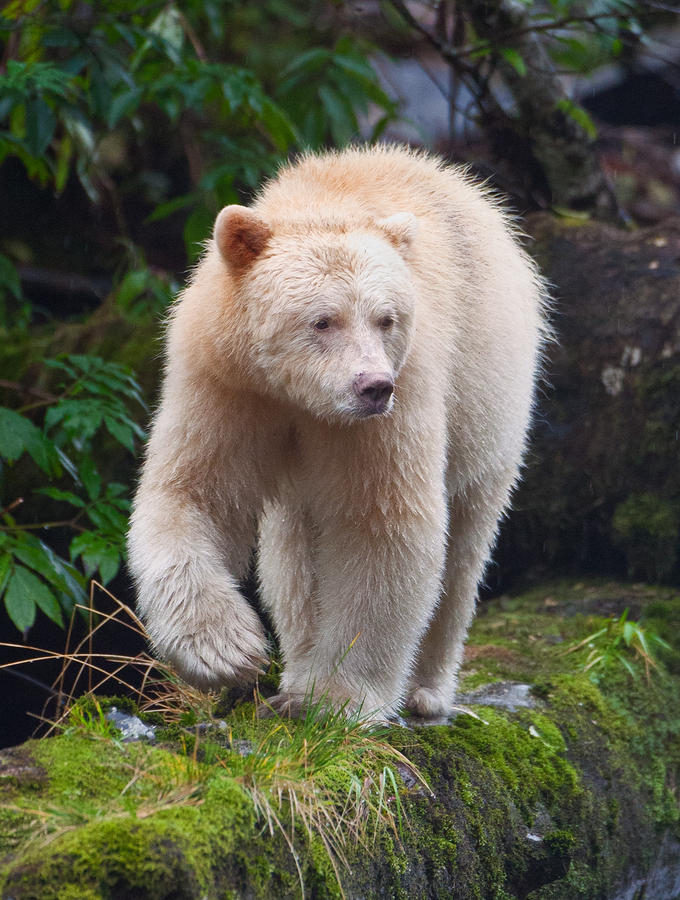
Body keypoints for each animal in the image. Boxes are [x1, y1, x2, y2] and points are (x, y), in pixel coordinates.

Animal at [127, 149, 548, 724]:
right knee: (292, 554)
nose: (373, 387)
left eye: (386, 319)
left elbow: (380, 523)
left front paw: (339, 698)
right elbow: (197, 493)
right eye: (323, 320)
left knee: (465, 544)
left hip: (488, 402)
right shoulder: (227, 381)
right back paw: (297, 669)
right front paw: (225, 651)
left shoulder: (398, 401)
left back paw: (425, 690)